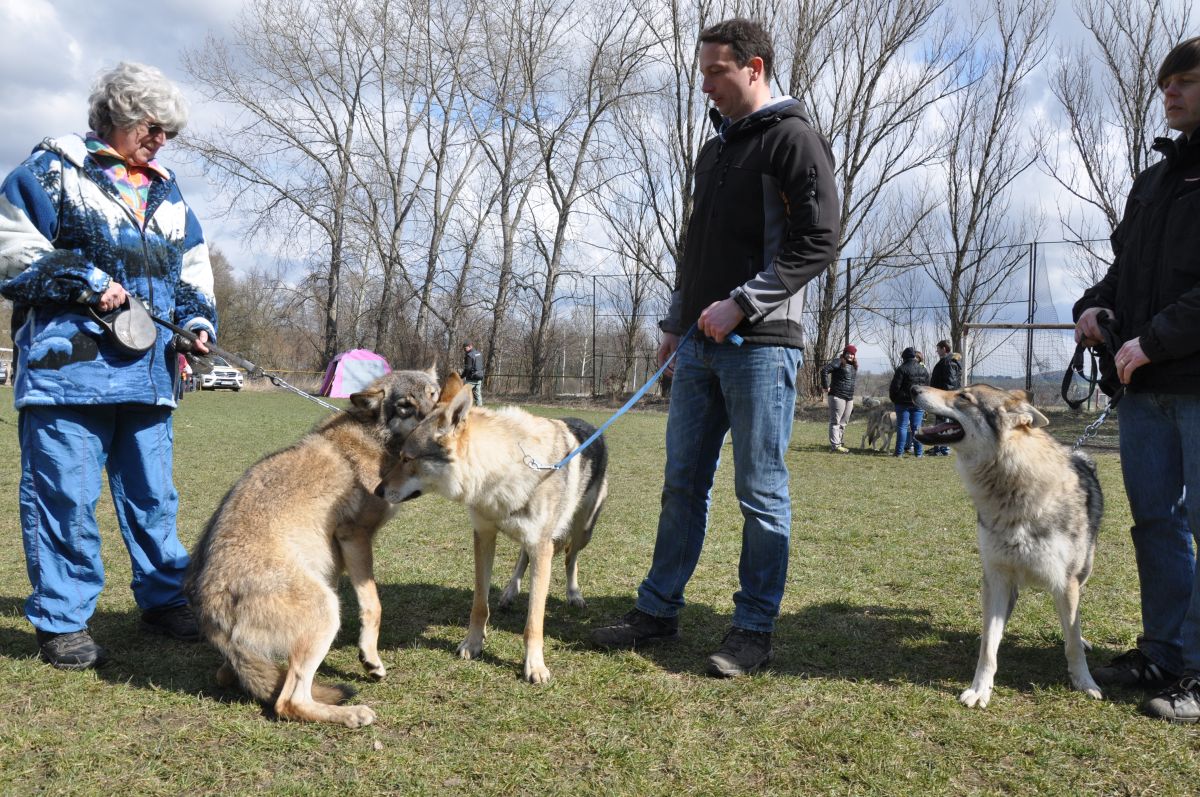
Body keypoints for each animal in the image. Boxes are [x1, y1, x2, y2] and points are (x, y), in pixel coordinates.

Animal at [189, 367, 444, 729]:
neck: (376, 440)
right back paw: (351, 714)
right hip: (326, 610)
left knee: (235, 676)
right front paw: (370, 658)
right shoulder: (354, 536)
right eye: (406, 406)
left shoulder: (334, 562)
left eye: (435, 395)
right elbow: (374, 606)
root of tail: (209, 606)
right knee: (288, 702)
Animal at [376, 374, 609, 686]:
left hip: (582, 531)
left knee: (571, 557)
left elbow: (534, 621)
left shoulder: (542, 546)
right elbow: (479, 603)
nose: (377, 491)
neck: (501, 473)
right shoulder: (484, 535)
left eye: (406, 458)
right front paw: (473, 644)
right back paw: (510, 593)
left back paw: (574, 595)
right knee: (523, 557)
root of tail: (592, 425)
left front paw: (535, 666)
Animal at [912, 386, 1099, 710]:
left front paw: (1085, 682)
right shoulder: (996, 576)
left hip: (1083, 571)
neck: (1011, 491)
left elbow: (1073, 642)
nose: (912, 388)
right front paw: (980, 689)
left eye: (963, 396)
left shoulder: (1066, 583)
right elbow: (989, 646)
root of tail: (1079, 453)